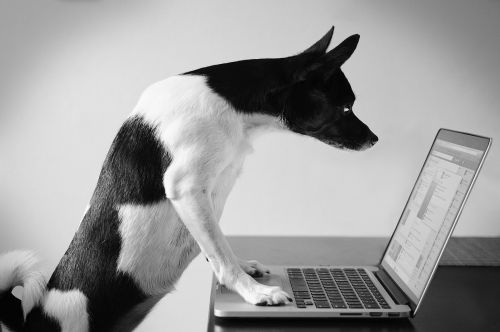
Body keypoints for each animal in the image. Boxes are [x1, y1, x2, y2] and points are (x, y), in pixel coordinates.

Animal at [0, 26, 376, 332]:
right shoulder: (188, 189)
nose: (375, 139)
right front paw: (253, 292)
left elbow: (218, 245)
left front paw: (245, 269)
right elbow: (220, 253)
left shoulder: (212, 192)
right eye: (346, 107)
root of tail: (33, 318)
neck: (233, 104)